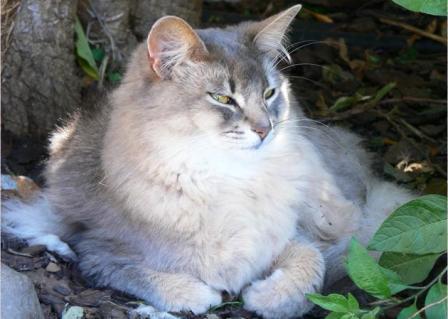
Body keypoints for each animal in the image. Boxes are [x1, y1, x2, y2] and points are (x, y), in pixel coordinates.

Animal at [1, 5, 414, 319]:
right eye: (223, 99)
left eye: (269, 93)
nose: (265, 129)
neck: (226, 179)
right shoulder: (96, 247)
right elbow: (142, 275)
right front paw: (197, 293)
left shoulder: (291, 235)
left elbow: (310, 263)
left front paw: (268, 297)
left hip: (330, 201)